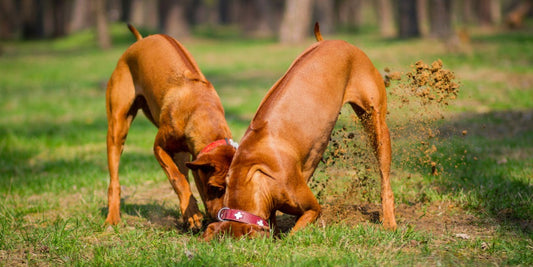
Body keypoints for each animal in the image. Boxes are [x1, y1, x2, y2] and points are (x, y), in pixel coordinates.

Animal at [106, 25, 235, 230]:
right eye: (215, 187)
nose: (221, 217)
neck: (203, 111)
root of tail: (141, 40)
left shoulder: (194, 158)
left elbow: (192, 182)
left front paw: (195, 215)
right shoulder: (159, 147)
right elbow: (177, 179)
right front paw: (192, 213)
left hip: (180, 152)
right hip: (117, 128)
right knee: (114, 181)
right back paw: (112, 217)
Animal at [202, 23, 396, 241]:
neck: (249, 171)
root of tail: (334, 41)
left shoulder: (312, 207)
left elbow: (295, 232)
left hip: (376, 123)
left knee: (385, 180)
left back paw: (389, 221)